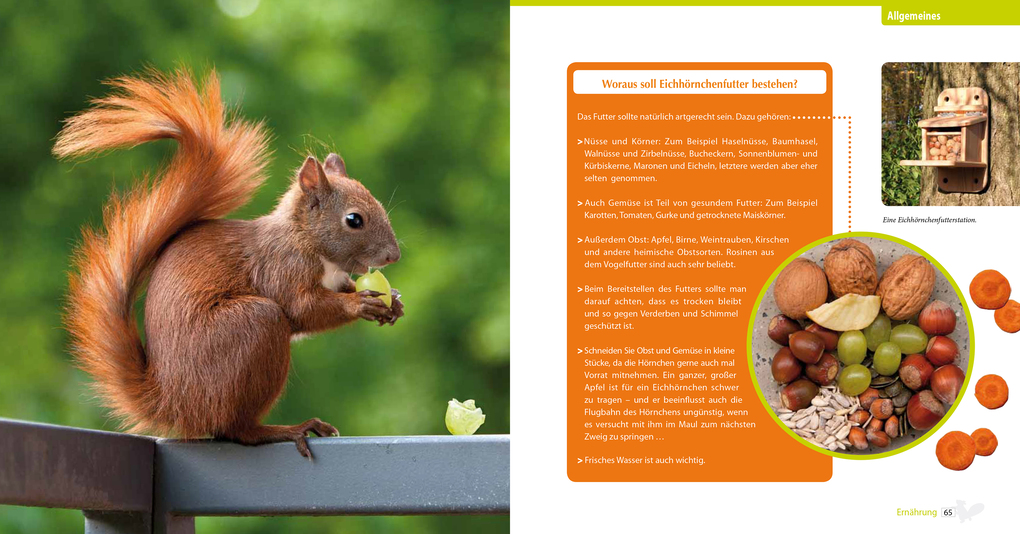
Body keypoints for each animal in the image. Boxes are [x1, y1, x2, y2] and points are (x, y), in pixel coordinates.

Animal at [53, 68, 404, 458]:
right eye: (354, 220)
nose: (394, 255)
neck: (307, 241)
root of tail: (171, 405)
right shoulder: (280, 267)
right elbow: (303, 308)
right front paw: (360, 303)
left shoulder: (334, 277)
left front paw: (393, 304)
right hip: (252, 327)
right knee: (236, 430)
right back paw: (287, 429)